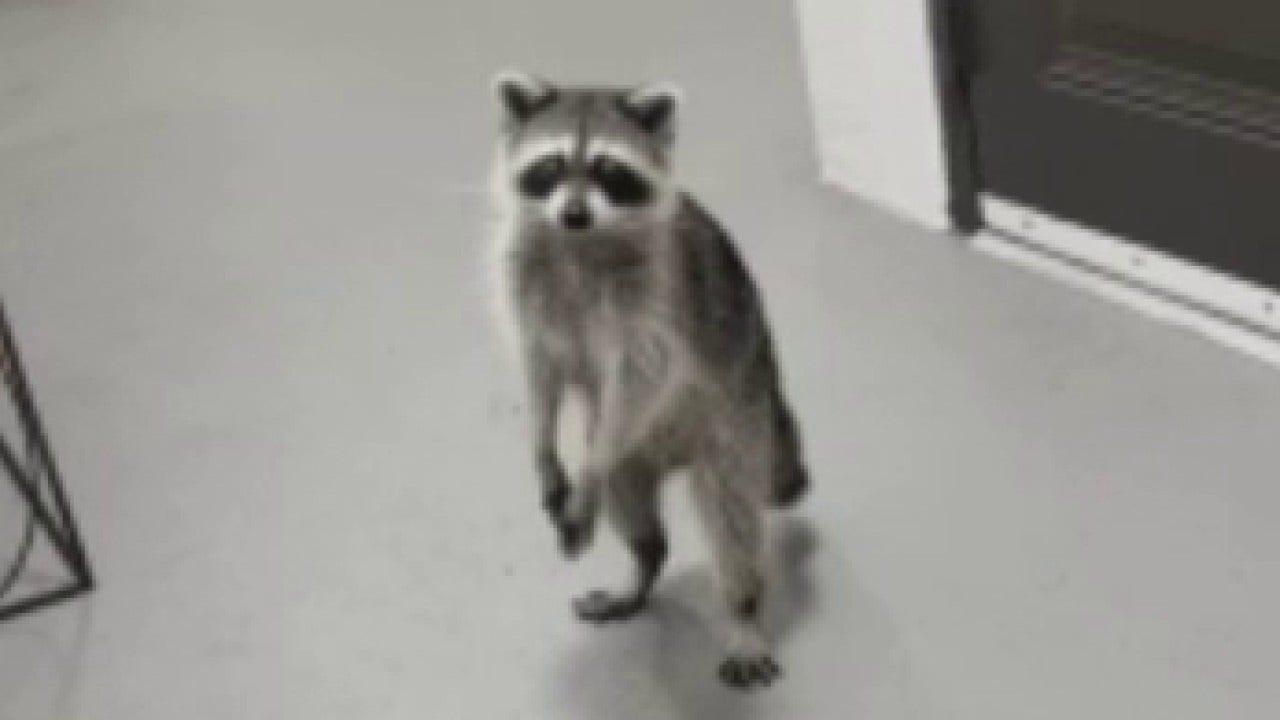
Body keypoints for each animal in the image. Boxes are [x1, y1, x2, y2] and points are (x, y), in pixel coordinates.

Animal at [488, 70, 809, 689]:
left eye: (609, 169)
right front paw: (541, 446)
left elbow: (645, 370)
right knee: (626, 498)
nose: (573, 214)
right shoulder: (526, 277)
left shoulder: (657, 293)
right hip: (634, 452)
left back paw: (743, 608)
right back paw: (643, 563)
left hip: (735, 421)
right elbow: (540, 366)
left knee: (732, 518)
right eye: (551, 165)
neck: (579, 242)